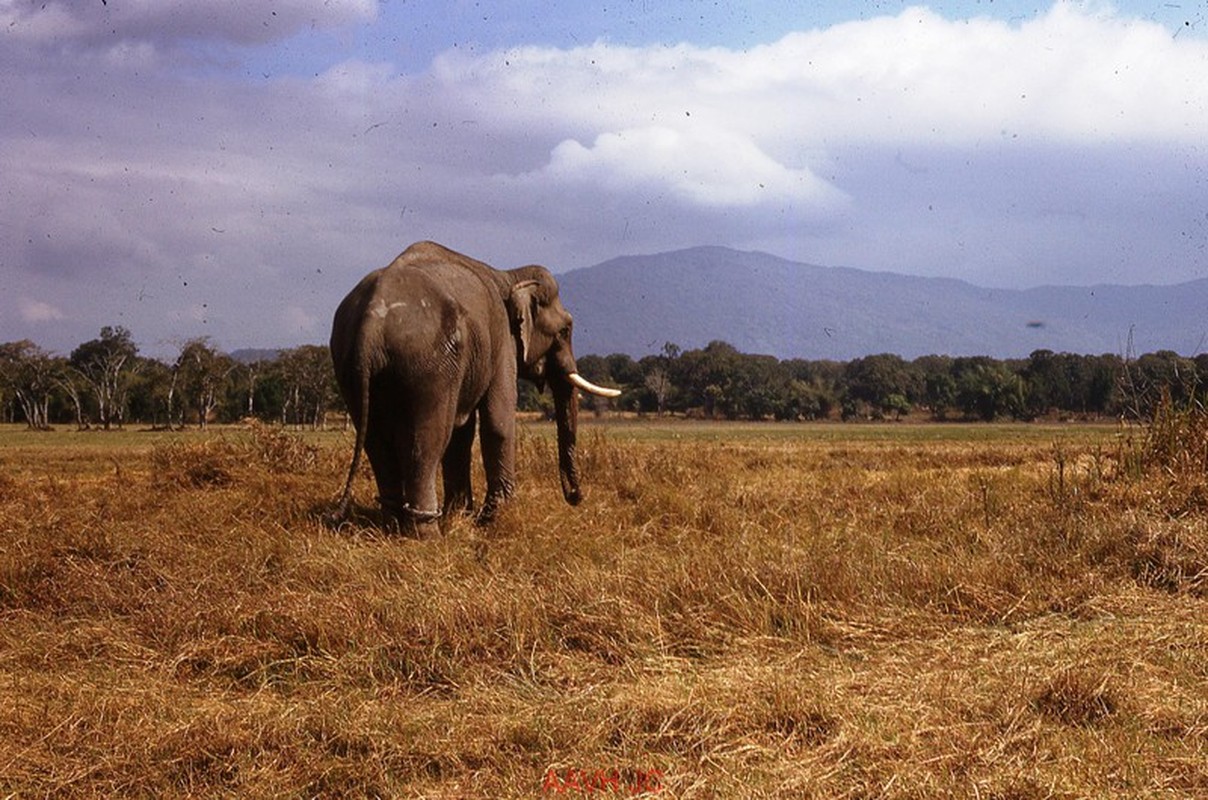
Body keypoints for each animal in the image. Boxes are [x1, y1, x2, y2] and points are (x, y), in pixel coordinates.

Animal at [326, 241, 618, 536]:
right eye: (565, 330)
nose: (576, 497)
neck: (510, 276)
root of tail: (371, 321)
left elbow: (462, 432)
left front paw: (462, 516)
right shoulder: (501, 340)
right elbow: (497, 420)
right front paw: (494, 519)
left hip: (351, 364)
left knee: (376, 437)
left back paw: (393, 526)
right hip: (430, 362)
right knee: (427, 438)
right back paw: (427, 535)